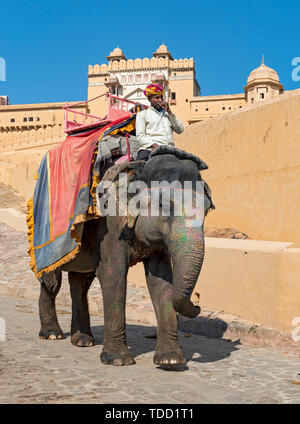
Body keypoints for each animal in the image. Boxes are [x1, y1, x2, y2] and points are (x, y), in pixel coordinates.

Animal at [38, 149, 213, 368]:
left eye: (207, 210)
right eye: (163, 205)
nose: (198, 305)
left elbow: (161, 281)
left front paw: (171, 360)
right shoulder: (109, 224)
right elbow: (114, 274)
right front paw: (118, 360)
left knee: (80, 282)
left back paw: (83, 341)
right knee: (52, 282)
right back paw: (52, 335)